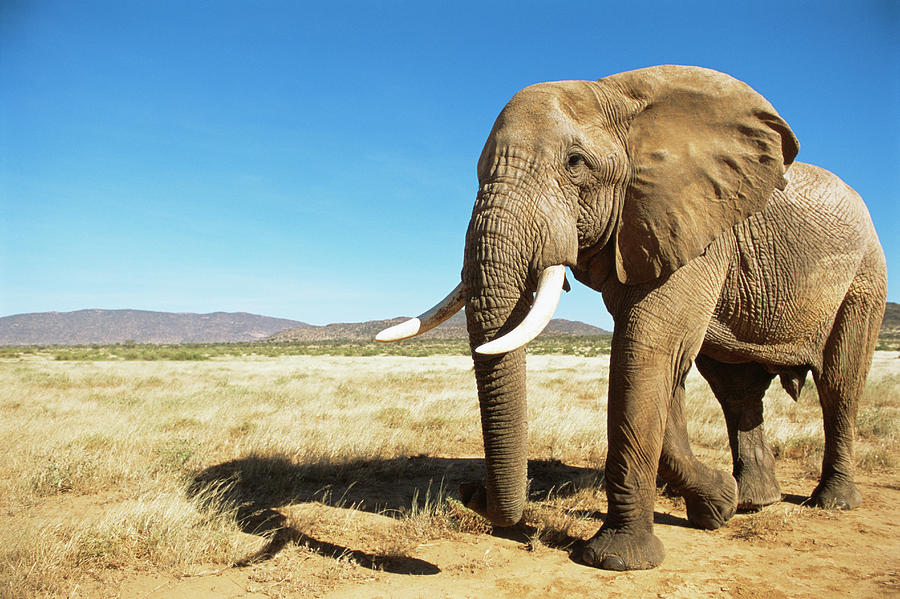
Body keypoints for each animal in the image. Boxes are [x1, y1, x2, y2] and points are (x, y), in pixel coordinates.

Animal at [376, 65, 888, 572]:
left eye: (575, 163)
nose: (470, 492)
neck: (618, 95)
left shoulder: (694, 226)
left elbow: (645, 353)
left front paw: (616, 560)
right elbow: (661, 366)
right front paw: (716, 507)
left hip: (865, 277)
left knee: (839, 383)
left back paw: (832, 502)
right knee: (736, 391)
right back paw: (753, 502)